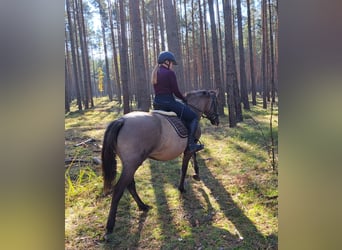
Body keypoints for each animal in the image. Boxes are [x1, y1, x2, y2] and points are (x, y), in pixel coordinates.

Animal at [101, 89, 219, 237]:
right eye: (215, 102)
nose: (217, 120)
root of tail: (121, 120)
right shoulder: (189, 147)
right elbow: (185, 166)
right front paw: (183, 187)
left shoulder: (190, 147)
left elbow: (193, 159)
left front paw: (196, 175)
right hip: (132, 164)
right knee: (119, 190)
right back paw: (110, 226)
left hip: (129, 164)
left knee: (130, 185)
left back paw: (143, 206)